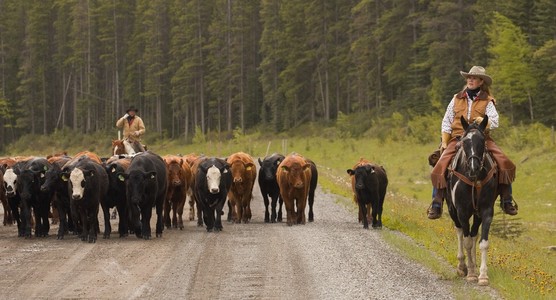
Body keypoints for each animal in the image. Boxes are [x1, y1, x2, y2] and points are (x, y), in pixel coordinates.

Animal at [446, 115, 498, 286]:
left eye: (482, 141)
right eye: (464, 142)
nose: (473, 168)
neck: (475, 179)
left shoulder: (486, 211)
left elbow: (483, 242)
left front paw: (482, 275)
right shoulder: (462, 212)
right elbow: (467, 242)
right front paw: (470, 274)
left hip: (476, 214)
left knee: (474, 234)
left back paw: (473, 265)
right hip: (452, 210)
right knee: (460, 232)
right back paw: (463, 266)